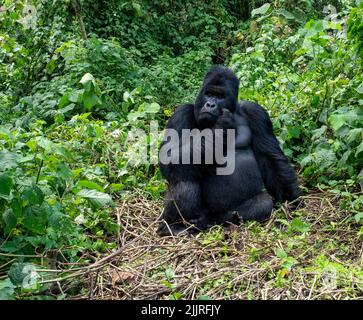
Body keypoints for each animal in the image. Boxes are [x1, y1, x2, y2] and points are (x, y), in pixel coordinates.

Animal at [157, 65, 302, 235]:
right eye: (208, 94)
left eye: (220, 96)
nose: (210, 105)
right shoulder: (181, 113)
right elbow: (169, 156)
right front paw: (220, 128)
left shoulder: (256, 111)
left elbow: (270, 157)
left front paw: (290, 198)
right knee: (185, 179)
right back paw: (177, 225)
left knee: (262, 202)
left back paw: (224, 218)